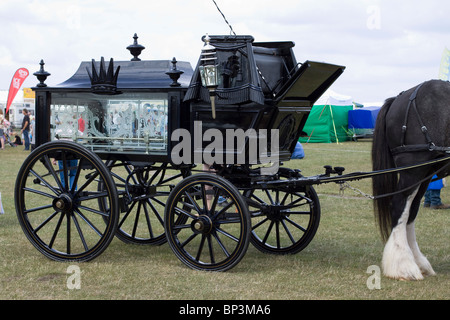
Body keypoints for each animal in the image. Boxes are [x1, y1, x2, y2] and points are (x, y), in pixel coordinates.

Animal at [370, 79, 450, 280]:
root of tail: (400, 97)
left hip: (425, 172)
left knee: (411, 210)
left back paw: (418, 262)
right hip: (413, 167)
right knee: (400, 205)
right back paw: (403, 264)